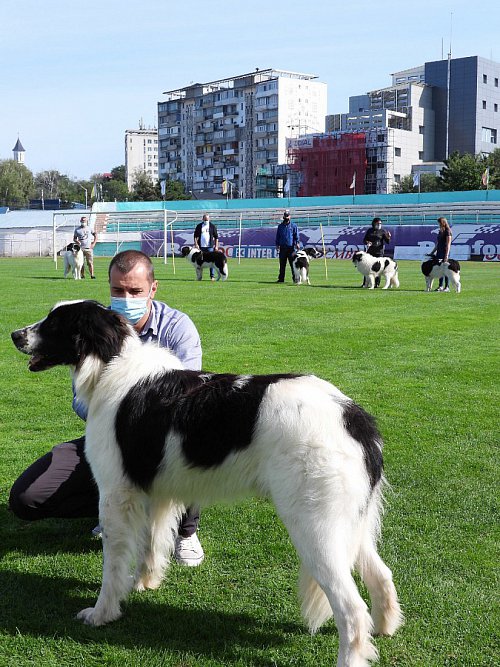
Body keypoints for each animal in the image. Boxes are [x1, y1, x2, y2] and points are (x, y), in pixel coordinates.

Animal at [10, 302, 402, 667]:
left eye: (54, 323)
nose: (14, 335)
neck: (111, 363)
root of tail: (354, 416)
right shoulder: (156, 493)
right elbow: (151, 544)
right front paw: (145, 584)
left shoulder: (116, 494)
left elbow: (113, 564)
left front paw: (102, 612)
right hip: (348, 524)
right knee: (383, 576)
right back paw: (384, 630)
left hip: (314, 527)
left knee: (352, 610)